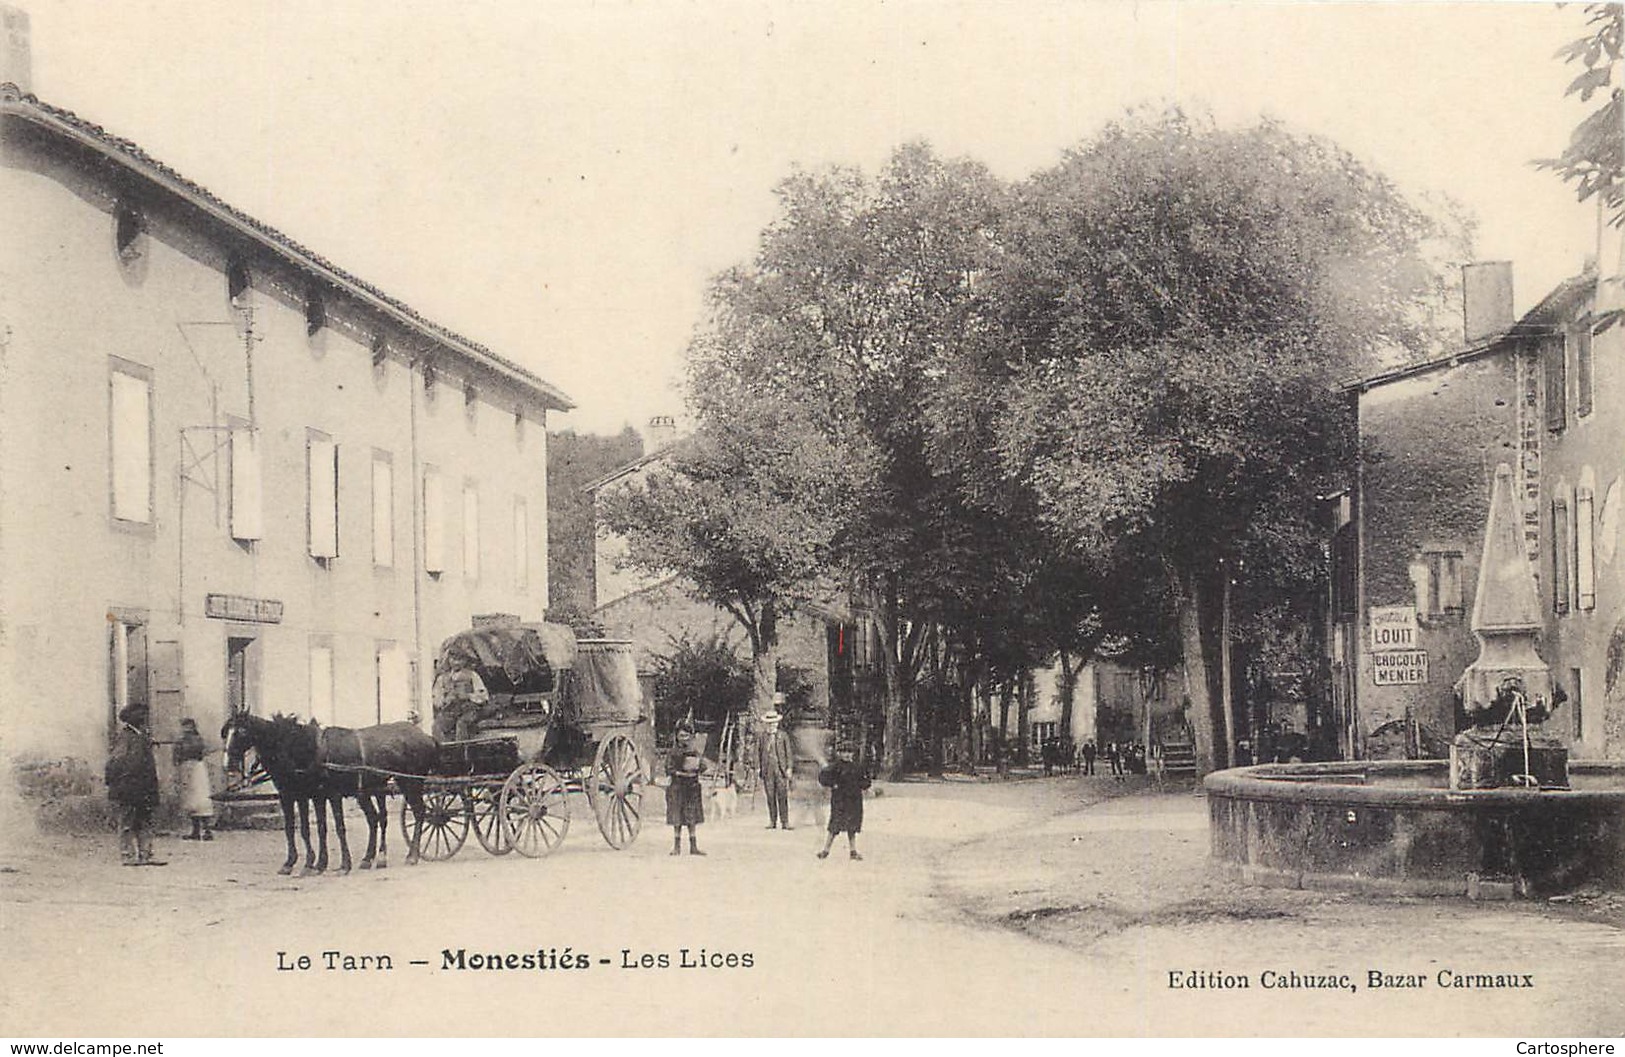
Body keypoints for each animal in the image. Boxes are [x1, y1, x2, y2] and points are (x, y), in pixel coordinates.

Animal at [222, 709, 442, 871]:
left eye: (241, 732)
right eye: (226, 732)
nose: (227, 765)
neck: (308, 750)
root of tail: (427, 736)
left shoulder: (327, 795)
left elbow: (336, 827)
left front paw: (340, 864)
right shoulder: (300, 795)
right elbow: (302, 828)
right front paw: (305, 863)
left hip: (410, 783)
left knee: (420, 813)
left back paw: (412, 855)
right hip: (370, 791)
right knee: (376, 819)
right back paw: (371, 859)